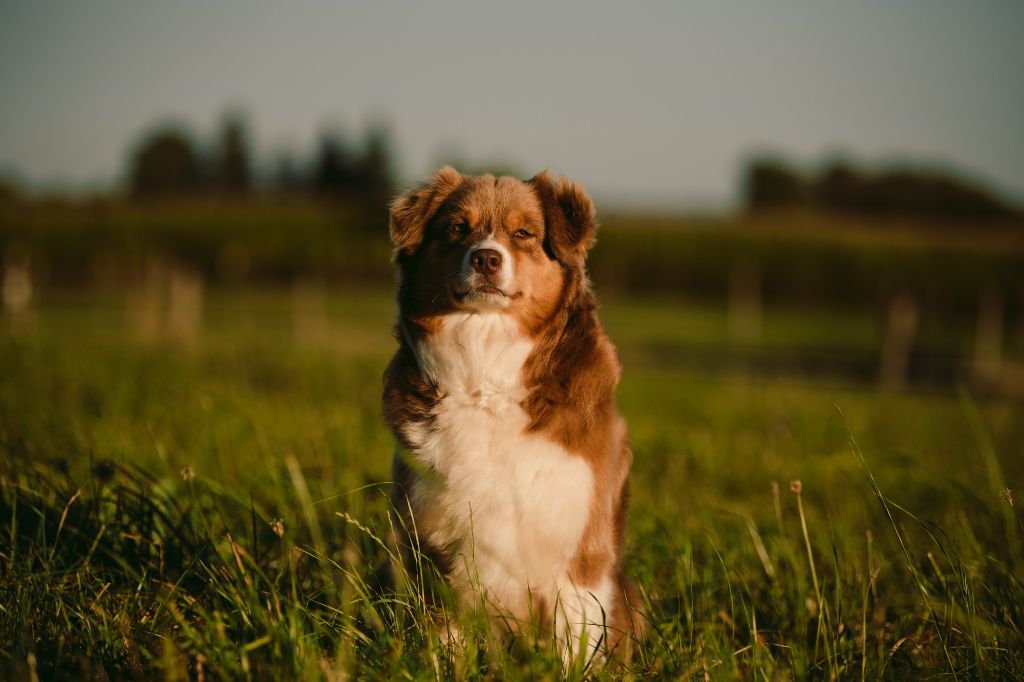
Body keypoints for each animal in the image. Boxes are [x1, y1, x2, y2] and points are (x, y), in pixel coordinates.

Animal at [385, 165, 638, 659]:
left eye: (523, 234)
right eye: (457, 228)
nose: (486, 259)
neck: (487, 374)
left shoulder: (579, 554)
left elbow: (573, 646)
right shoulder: (435, 547)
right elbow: (446, 638)